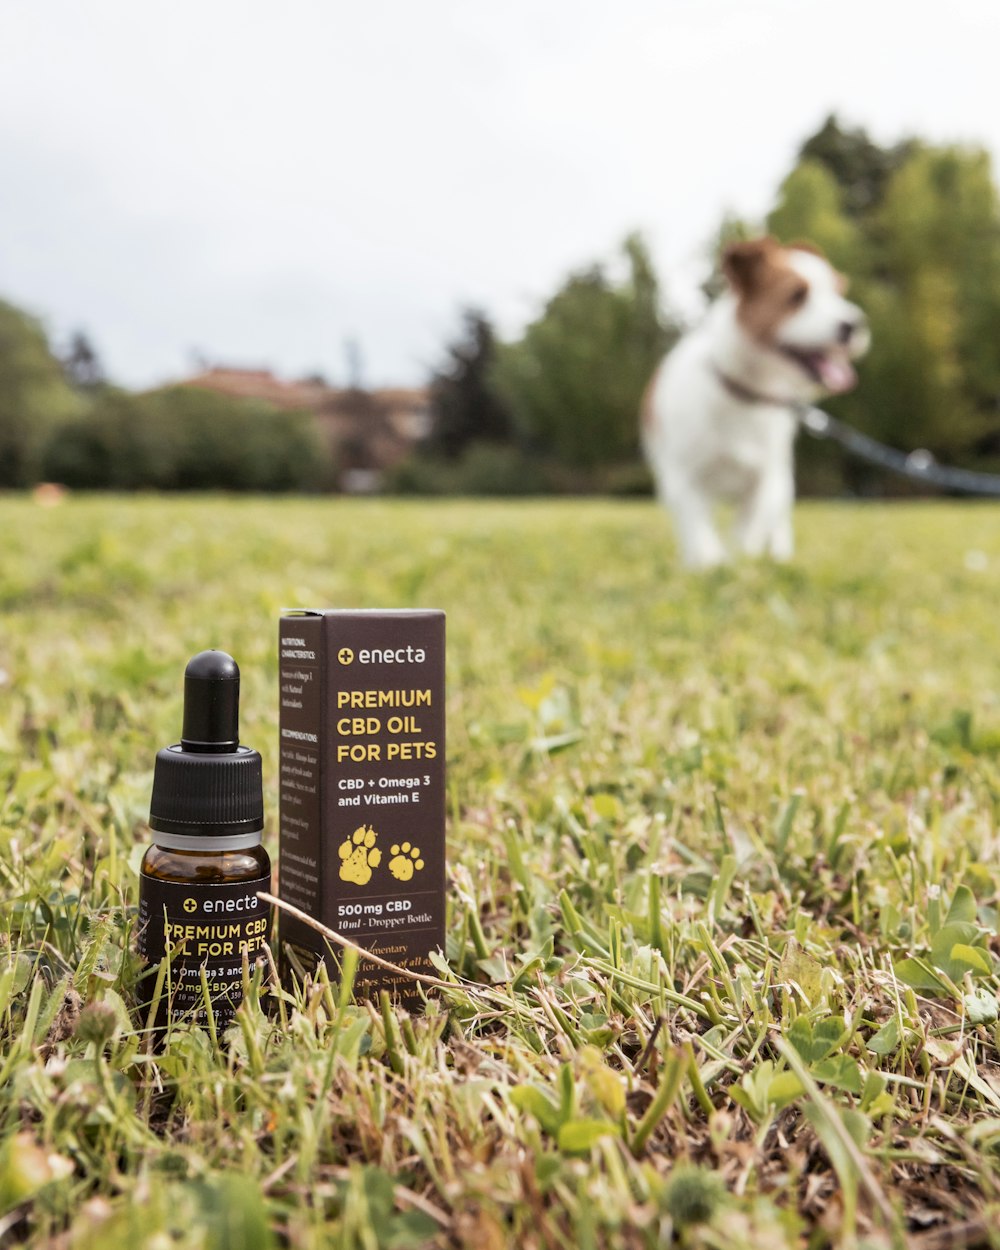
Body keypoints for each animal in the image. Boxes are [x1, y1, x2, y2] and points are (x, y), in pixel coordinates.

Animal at [640, 235, 865, 567]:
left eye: (838, 293)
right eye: (797, 295)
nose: (854, 324)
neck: (743, 394)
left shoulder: (765, 479)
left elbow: (747, 532)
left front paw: (740, 564)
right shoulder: (684, 477)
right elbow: (699, 531)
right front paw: (709, 565)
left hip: (782, 479)